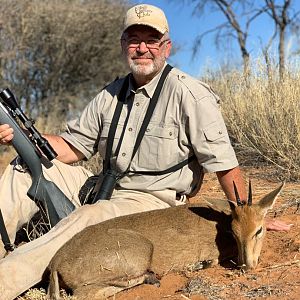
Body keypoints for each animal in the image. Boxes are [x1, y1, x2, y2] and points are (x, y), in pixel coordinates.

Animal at [47, 182, 284, 298]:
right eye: (234, 233)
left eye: (258, 230)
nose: (247, 265)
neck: (219, 224)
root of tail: (56, 261)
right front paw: (200, 264)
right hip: (141, 252)